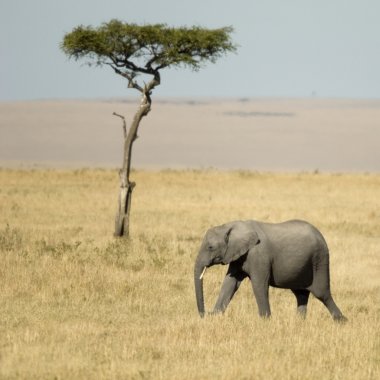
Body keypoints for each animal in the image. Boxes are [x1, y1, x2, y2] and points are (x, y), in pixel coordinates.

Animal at [194, 220, 346, 320]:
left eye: (210, 247)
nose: (204, 314)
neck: (230, 226)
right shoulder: (238, 256)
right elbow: (230, 284)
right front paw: (215, 315)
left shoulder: (259, 255)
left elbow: (259, 285)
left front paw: (265, 320)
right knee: (301, 294)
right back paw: (299, 323)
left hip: (320, 259)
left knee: (322, 294)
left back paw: (342, 321)